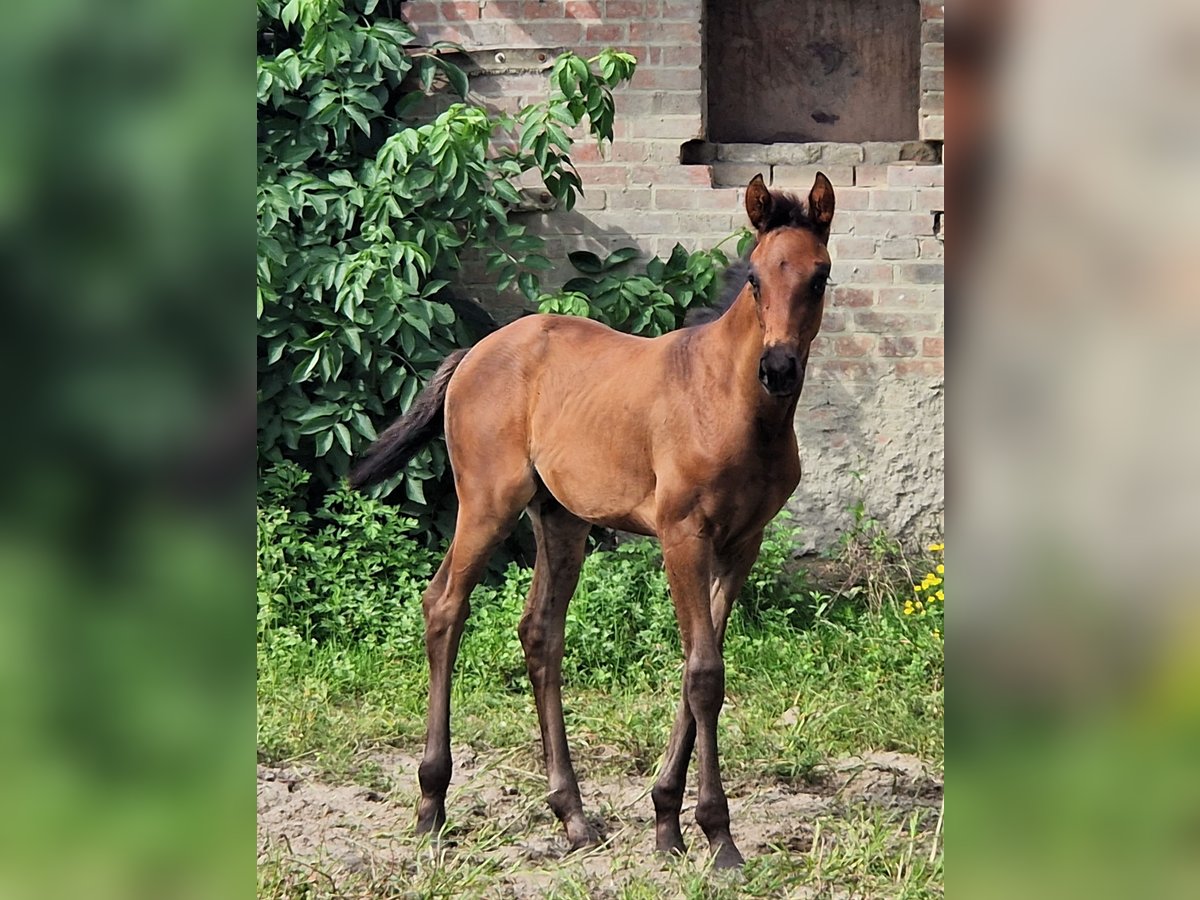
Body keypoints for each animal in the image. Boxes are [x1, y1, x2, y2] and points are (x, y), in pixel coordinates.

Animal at [350, 172, 835, 868]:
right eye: (755, 278)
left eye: (820, 276)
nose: (778, 369)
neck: (732, 402)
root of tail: (473, 352)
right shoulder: (682, 535)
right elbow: (705, 675)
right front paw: (716, 835)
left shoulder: (742, 544)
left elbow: (700, 669)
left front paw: (667, 820)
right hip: (488, 502)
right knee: (444, 605)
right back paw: (431, 804)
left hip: (561, 520)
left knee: (539, 632)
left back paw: (572, 814)